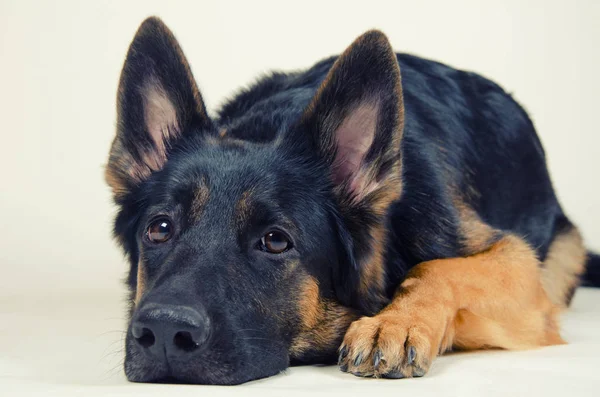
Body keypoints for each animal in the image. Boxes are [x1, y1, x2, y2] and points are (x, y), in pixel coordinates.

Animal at [106, 17, 600, 382]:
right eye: (160, 229)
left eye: (275, 240)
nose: (165, 330)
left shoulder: (520, 267)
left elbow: (437, 268)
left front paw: (394, 322)